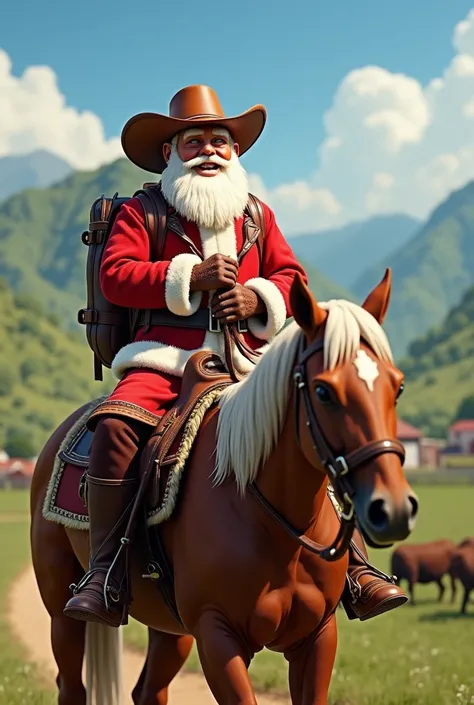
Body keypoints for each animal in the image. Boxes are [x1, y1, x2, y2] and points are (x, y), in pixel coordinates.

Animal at [29, 266, 416, 700]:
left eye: (397, 386)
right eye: (323, 391)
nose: (392, 508)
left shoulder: (317, 637)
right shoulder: (217, 635)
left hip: (171, 630)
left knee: (148, 690)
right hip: (62, 611)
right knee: (70, 684)